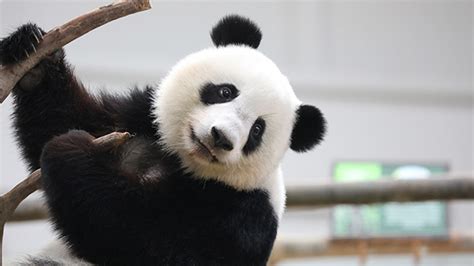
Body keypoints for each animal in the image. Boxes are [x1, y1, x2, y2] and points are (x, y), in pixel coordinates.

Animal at [0, 15, 326, 266]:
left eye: (257, 130)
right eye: (225, 91)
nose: (220, 137)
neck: (182, 161)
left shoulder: (243, 216)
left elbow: (146, 239)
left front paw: (70, 151)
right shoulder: (140, 118)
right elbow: (71, 122)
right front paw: (35, 59)